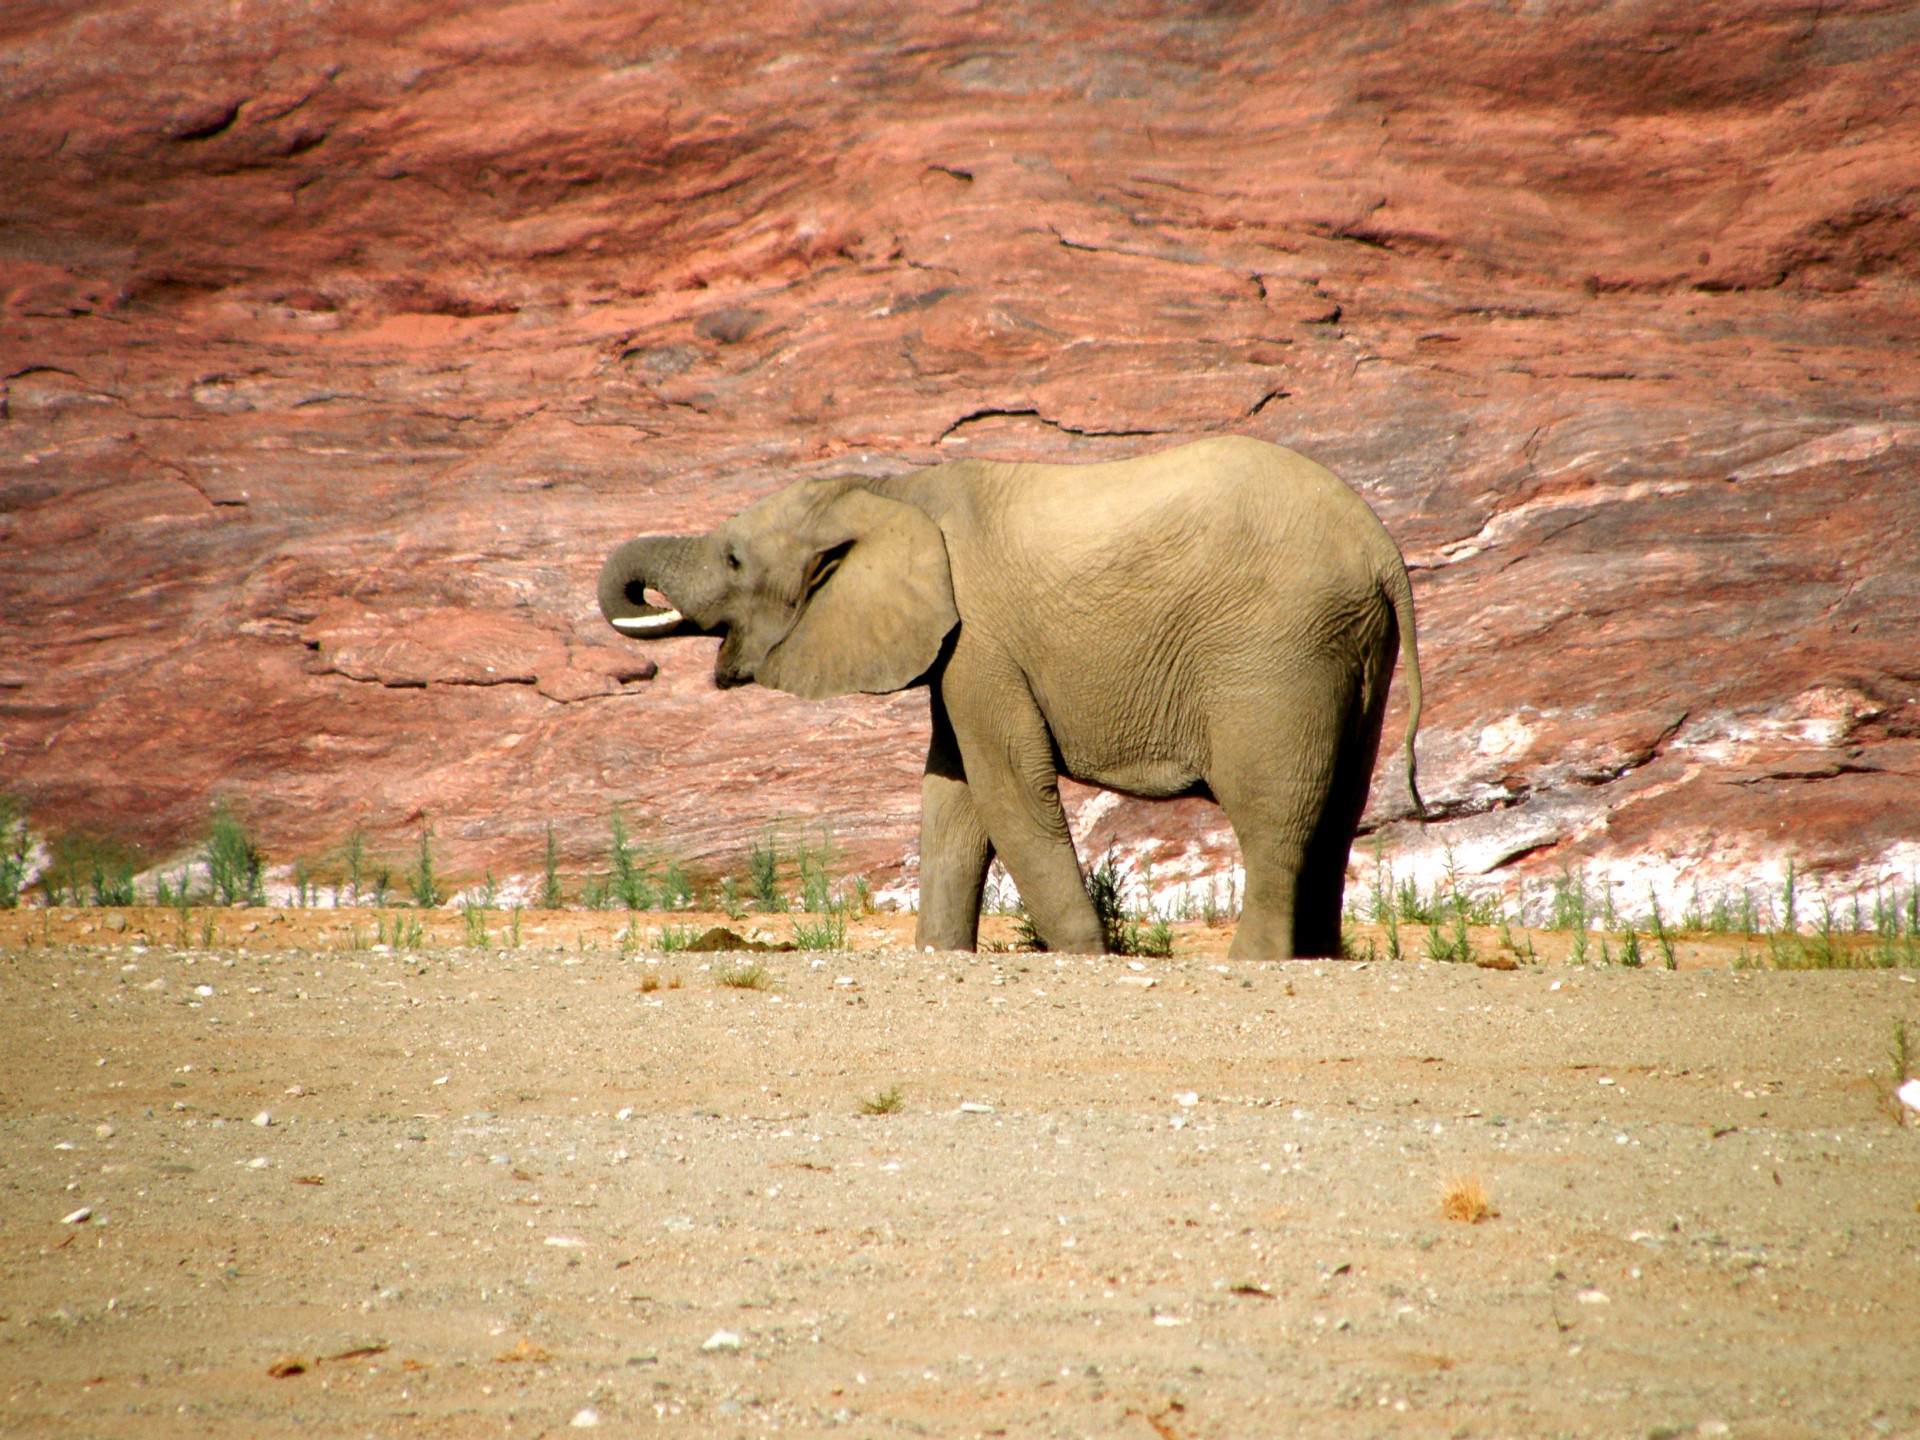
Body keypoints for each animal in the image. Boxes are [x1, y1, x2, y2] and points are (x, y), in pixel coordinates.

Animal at [599, 433, 1428, 963]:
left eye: (735, 560)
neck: (888, 491)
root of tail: (1382, 550)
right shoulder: (957, 647)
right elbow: (952, 795)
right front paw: (939, 957)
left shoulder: (982, 638)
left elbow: (1007, 787)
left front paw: (1087, 958)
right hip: (1351, 646)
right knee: (1337, 809)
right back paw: (1318, 961)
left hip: (1277, 649)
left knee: (1273, 811)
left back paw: (1255, 963)